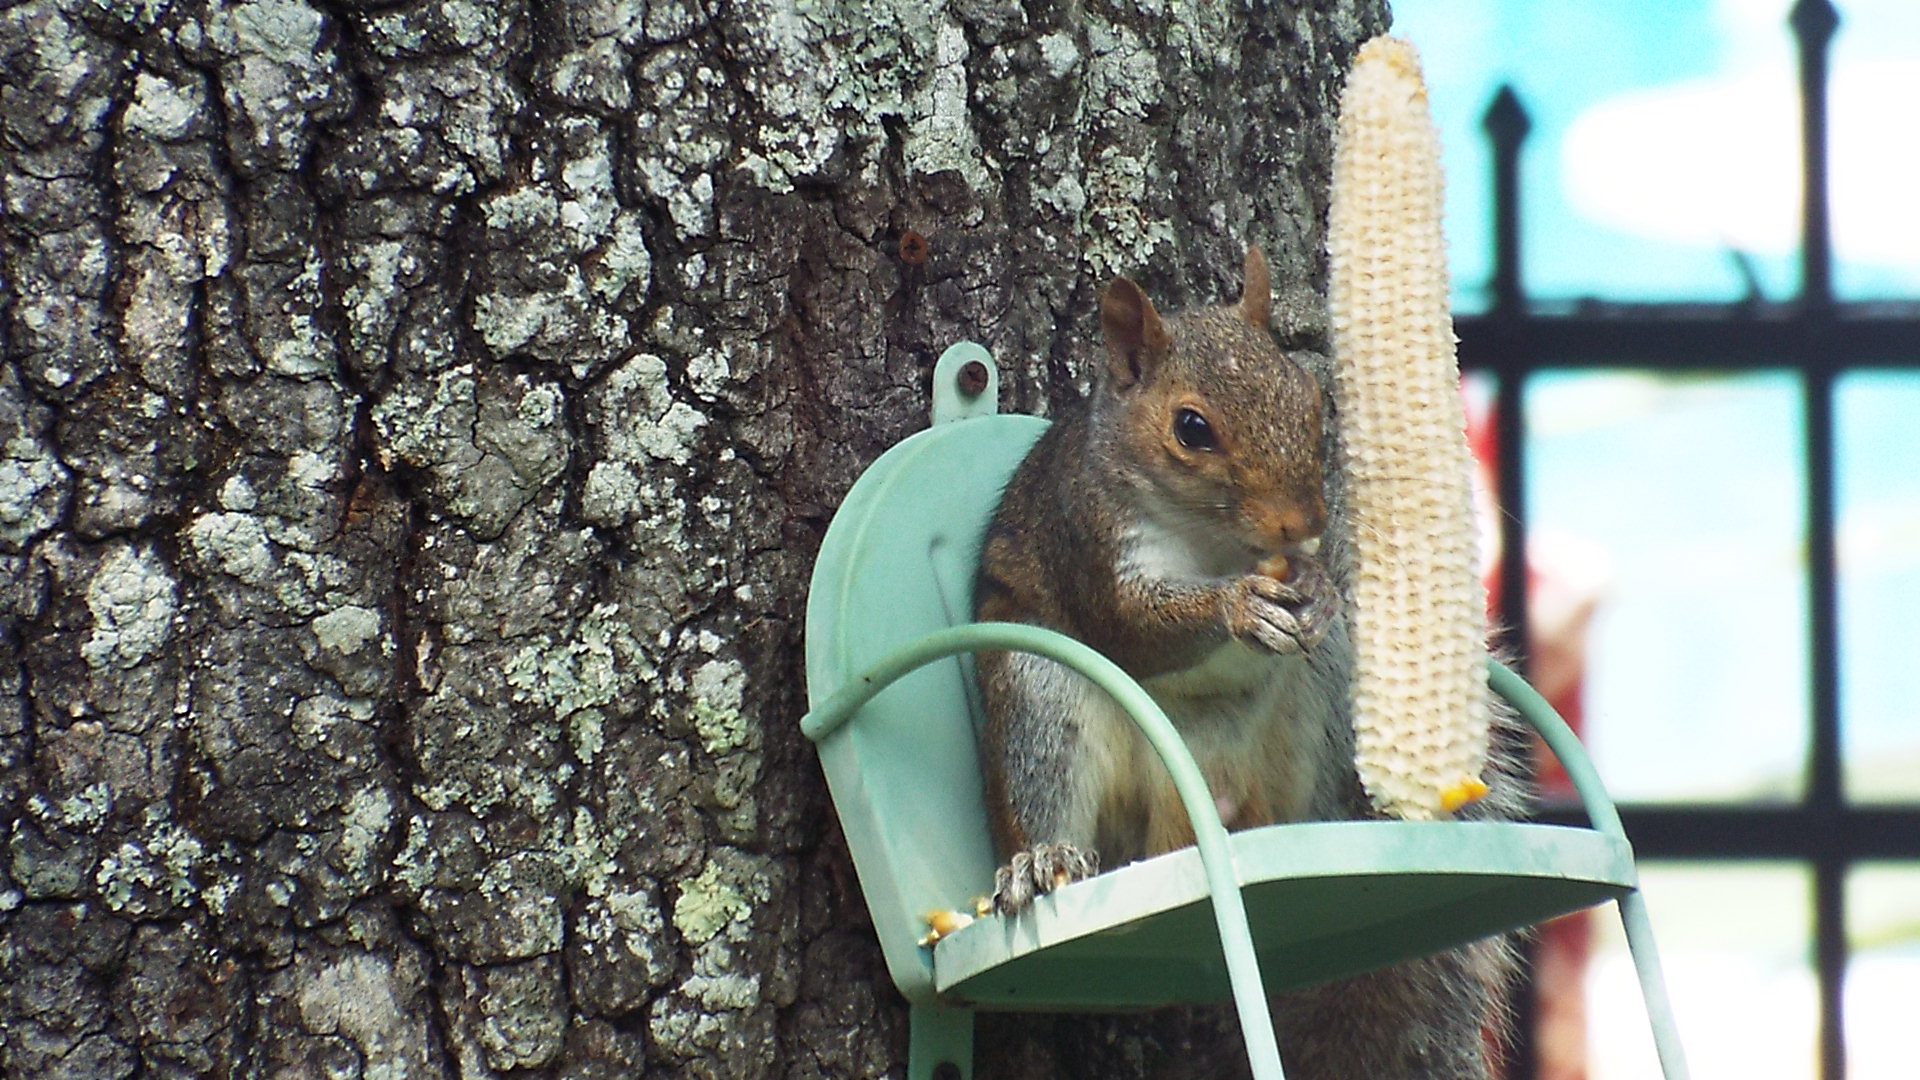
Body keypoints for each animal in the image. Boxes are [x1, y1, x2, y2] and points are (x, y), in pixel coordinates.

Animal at [972, 246, 1521, 1078]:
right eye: (1191, 428)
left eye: (1312, 398)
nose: (1305, 521)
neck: (1212, 539)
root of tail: (1192, 819)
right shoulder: (1089, 539)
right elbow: (1134, 625)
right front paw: (1238, 606)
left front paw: (1320, 588)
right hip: (1043, 695)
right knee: (1045, 786)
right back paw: (1042, 862)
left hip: (1318, 708)